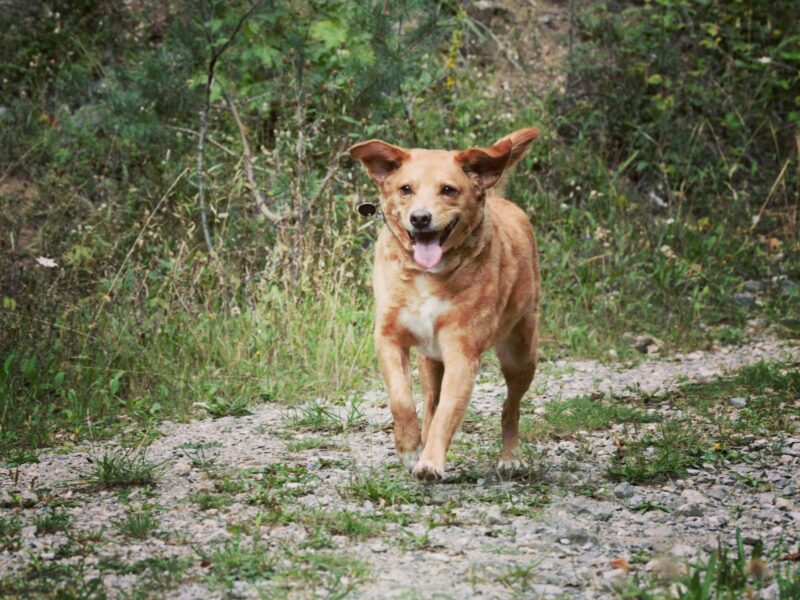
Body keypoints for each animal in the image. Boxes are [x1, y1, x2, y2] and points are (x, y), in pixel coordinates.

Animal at [348, 129, 540, 480]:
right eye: (405, 189)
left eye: (448, 190)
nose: (420, 218)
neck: (427, 276)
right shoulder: (389, 338)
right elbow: (402, 400)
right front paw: (410, 449)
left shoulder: (462, 353)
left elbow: (448, 413)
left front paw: (431, 462)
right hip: (430, 363)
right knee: (430, 402)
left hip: (521, 355)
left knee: (510, 407)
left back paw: (510, 457)